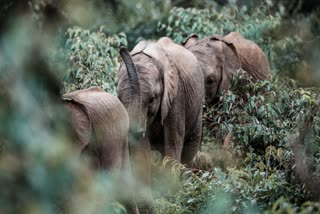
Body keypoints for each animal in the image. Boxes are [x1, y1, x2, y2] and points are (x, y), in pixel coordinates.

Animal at [118, 37, 205, 212]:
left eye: (152, 99)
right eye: (118, 97)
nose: (122, 48)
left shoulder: (176, 99)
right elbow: (141, 152)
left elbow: (172, 147)